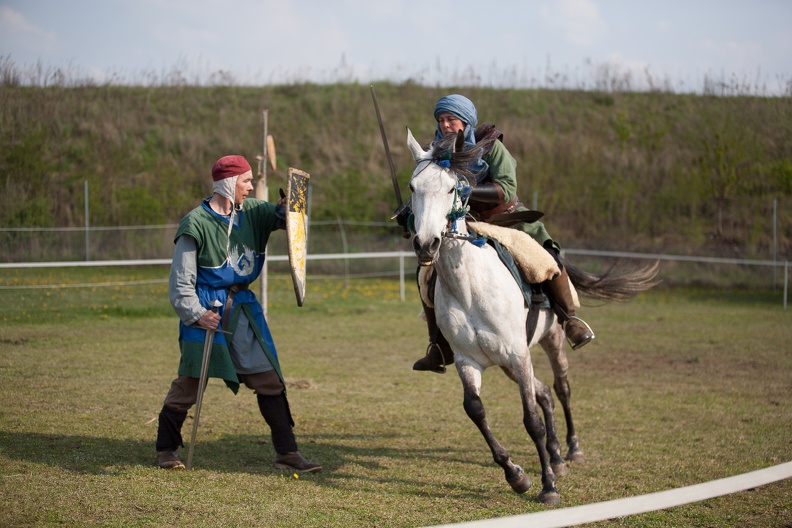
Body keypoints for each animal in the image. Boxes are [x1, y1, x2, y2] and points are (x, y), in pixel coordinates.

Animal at [406, 127, 660, 504]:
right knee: (544, 393)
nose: (426, 244)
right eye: (412, 187)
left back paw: (571, 450)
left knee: (561, 388)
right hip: (510, 363)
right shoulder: (470, 361)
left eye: (452, 188)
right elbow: (476, 410)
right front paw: (516, 475)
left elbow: (531, 421)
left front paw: (548, 486)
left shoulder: (517, 353)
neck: (470, 288)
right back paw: (555, 455)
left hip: (548, 341)